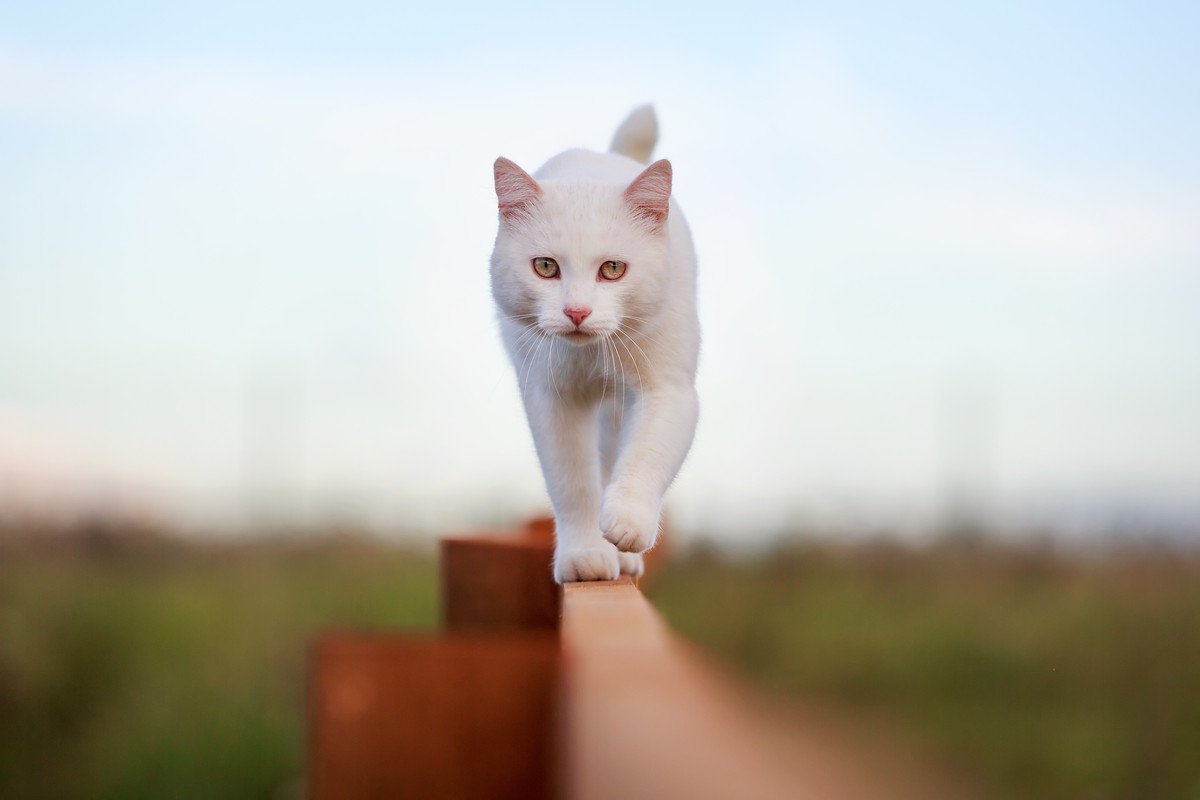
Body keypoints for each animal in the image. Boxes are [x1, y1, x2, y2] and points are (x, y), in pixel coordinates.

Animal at [489, 104, 700, 582]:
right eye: (546, 267)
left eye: (614, 269)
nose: (577, 312)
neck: (590, 356)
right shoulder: (552, 399)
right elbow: (572, 483)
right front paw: (585, 554)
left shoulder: (668, 390)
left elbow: (647, 454)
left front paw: (627, 526)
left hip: (620, 407)